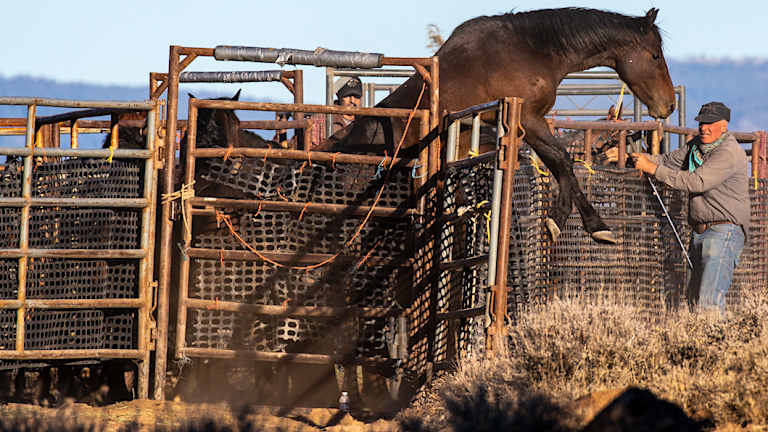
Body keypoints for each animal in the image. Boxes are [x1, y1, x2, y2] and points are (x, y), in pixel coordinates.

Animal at [324, 7, 676, 244]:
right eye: (655, 56)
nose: (669, 105)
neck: (534, 49)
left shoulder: (527, 125)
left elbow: (559, 164)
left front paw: (576, 223)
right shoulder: (530, 119)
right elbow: (562, 160)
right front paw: (581, 223)